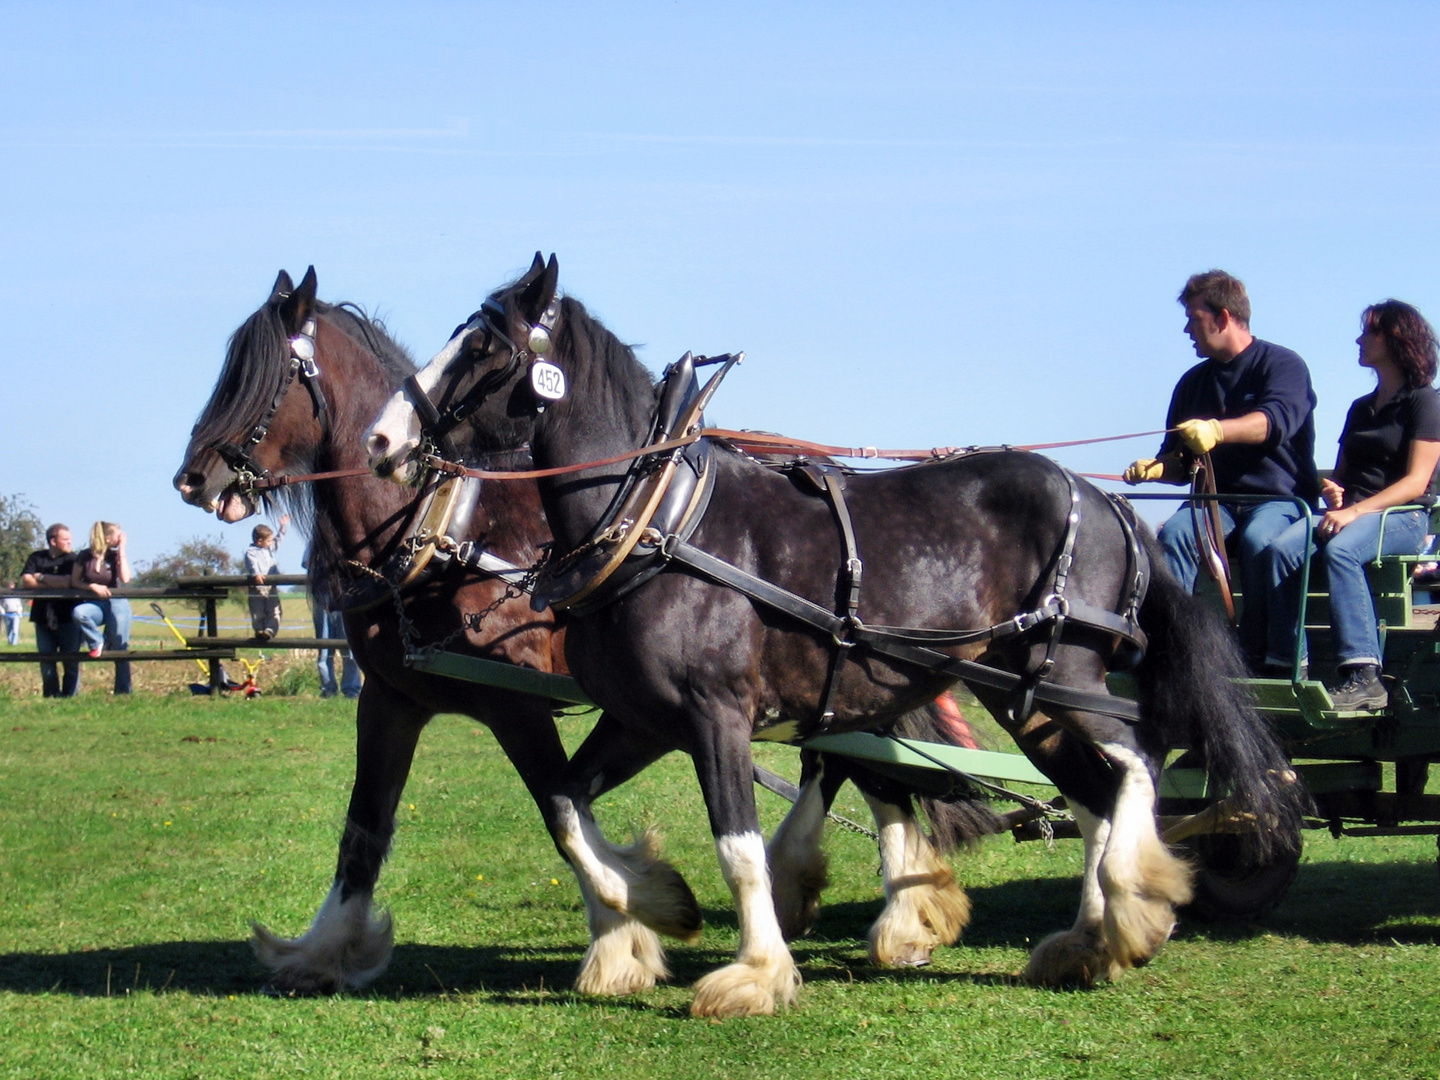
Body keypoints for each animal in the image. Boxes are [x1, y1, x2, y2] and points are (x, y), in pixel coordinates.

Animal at [171, 269, 990, 996]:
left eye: (267, 375)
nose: (193, 478)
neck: (436, 534)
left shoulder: (517, 703)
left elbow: (559, 810)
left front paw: (629, 931)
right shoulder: (391, 701)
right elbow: (364, 829)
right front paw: (323, 948)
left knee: (854, 764)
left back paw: (879, 906)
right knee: (864, 763)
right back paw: (904, 913)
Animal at [365, 257, 1313, 1019]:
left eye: (483, 348)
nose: (382, 440)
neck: (656, 520)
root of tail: (1108, 499)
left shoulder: (715, 716)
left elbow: (740, 849)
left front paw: (754, 973)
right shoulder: (642, 720)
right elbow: (565, 807)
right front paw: (649, 909)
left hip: (1070, 673)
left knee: (1135, 763)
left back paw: (1137, 895)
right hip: (1023, 696)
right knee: (1093, 795)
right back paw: (1093, 940)